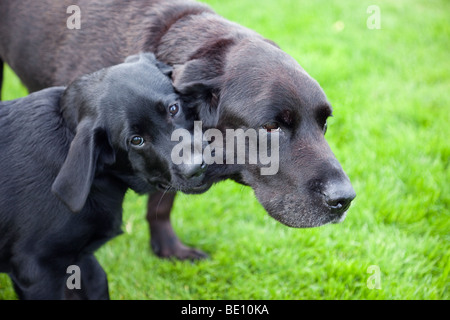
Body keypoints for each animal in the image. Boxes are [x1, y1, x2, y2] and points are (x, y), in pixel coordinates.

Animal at [0, 53, 206, 300]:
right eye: (136, 140)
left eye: (173, 109)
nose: (197, 167)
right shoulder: (36, 270)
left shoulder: (80, 257)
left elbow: (98, 282)